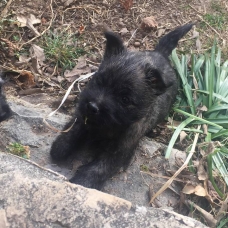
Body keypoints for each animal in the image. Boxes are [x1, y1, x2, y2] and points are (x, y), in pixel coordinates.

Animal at [50, 24, 192, 190]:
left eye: (125, 99)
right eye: (99, 81)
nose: (92, 106)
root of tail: (160, 53)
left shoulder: (119, 151)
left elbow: (99, 167)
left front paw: (82, 181)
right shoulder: (84, 116)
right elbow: (75, 127)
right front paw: (61, 146)